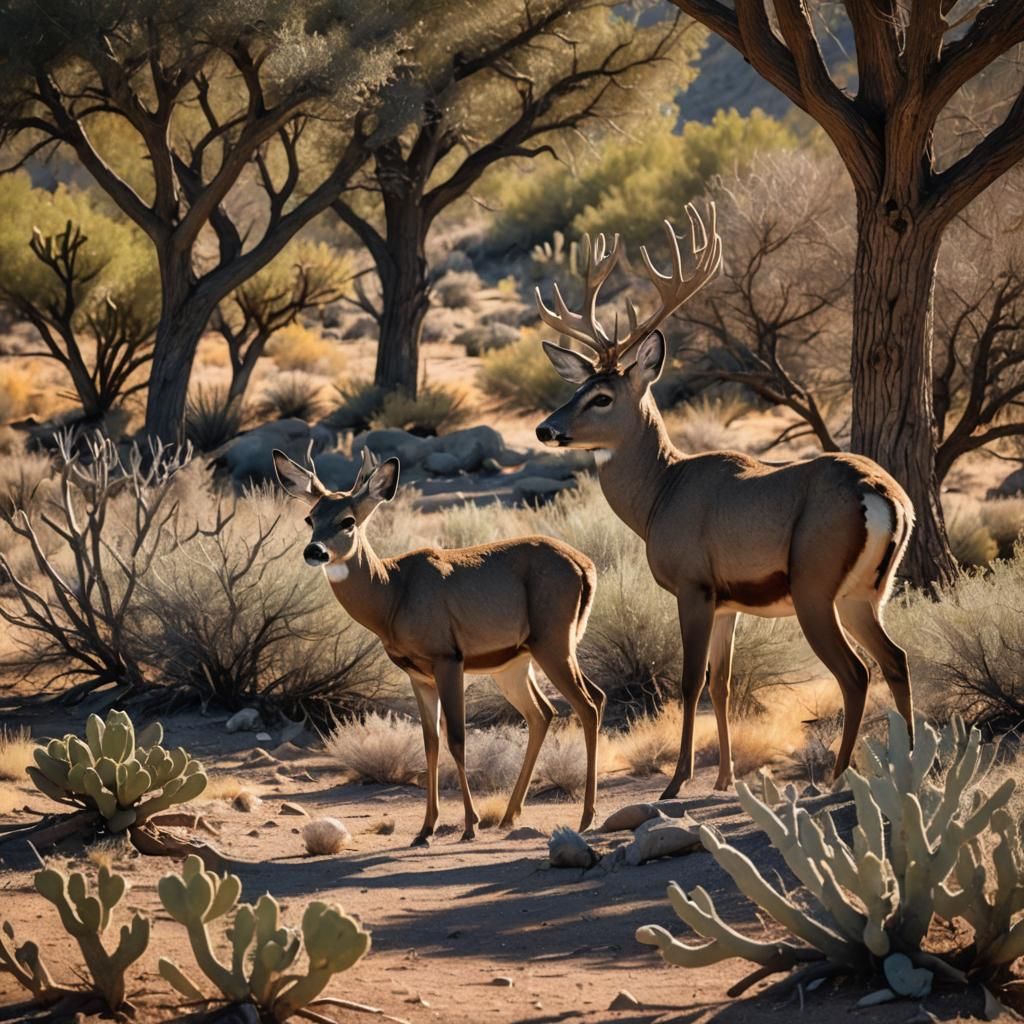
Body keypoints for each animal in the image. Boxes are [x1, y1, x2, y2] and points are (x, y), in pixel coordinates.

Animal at [272, 447, 605, 846]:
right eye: (311, 517)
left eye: (347, 520)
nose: (314, 551)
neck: (392, 594)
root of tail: (585, 566)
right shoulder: (418, 674)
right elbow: (429, 742)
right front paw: (425, 829)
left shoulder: (448, 658)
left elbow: (457, 738)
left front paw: (469, 825)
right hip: (517, 663)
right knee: (548, 711)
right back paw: (510, 815)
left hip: (553, 642)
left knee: (587, 705)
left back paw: (586, 817)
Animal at [533, 203, 916, 799]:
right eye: (575, 387)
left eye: (602, 396)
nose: (546, 429)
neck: (662, 494)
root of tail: (882, 496)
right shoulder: (729, 602)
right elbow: (723, 684)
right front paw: (724, 779)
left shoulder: (693, 586)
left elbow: (690, 682)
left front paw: (676, 783)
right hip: (865, 592)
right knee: (896, 660)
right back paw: (916, 766)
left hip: (815, 586)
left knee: (856, 673)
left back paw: (837, 778)